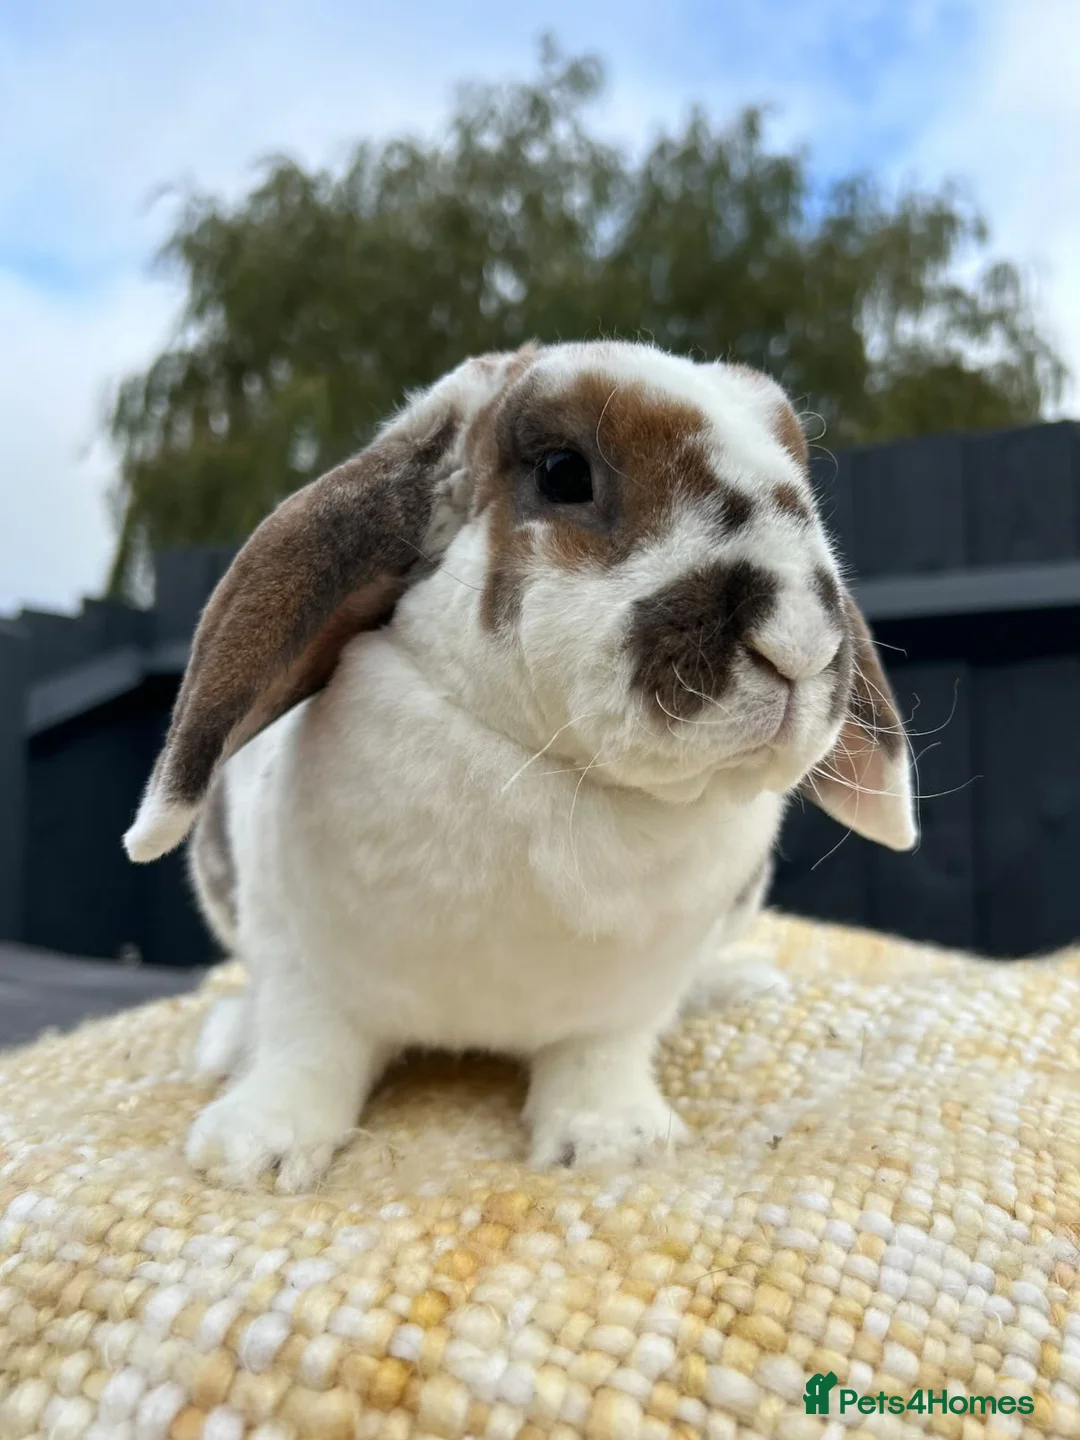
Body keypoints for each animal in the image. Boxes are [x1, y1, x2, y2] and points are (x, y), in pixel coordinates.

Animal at [124, 339, 916, 1192]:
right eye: (563, 473)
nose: (801, 644)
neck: (548, 770)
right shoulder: (299, 960)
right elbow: (306, 1048)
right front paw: (252, 1154)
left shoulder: (627, 1000)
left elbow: (598, 1057)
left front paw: (613, 1144)